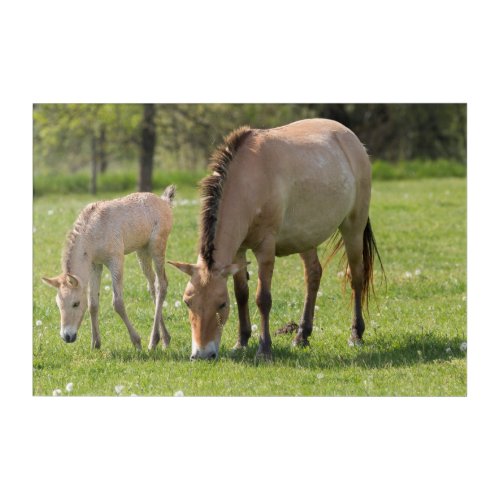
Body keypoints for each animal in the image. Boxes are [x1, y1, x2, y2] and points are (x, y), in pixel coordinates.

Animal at [43, 185, 176, 352]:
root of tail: (165, 202)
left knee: (162, 285)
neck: (94, 231)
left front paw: (136, 341)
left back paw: (152, 341)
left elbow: (117, 303)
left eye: (76, 303)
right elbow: (93, 304)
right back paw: (164, 339)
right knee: (153, 287)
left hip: (157, 246)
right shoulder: (95, 265)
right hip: (142, 250)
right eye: (58, 304)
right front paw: (95, 343)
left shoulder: (116, 260)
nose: (67, 337)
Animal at [169, 117, 382, 360]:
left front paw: (264, 348)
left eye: (221, 304)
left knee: (356, 276)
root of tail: (352, 139)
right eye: (187, 302)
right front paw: (241, 342)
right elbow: (242, 294)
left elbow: (263, 298)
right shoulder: (239, 252)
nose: (202, 354)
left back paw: (356, 335)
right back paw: (301, 336)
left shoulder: (265, 249)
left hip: (353, 227)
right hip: (305, 237)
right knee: (313, 275)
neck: (249, 180)